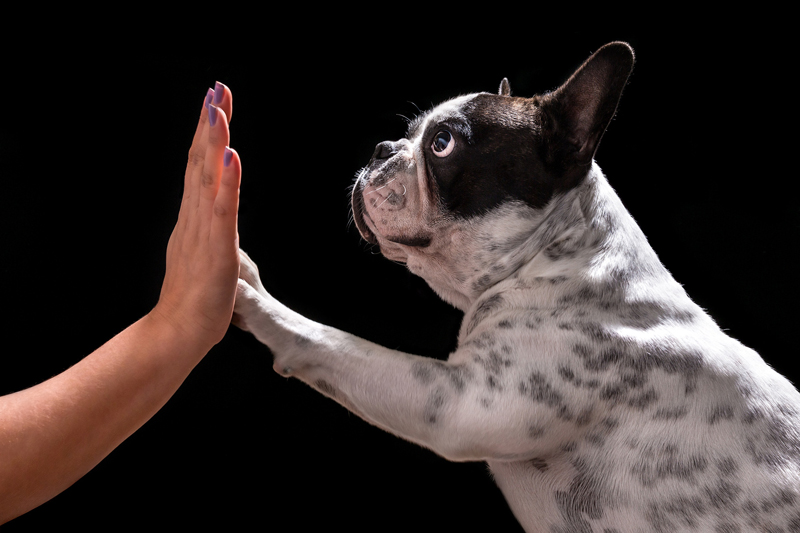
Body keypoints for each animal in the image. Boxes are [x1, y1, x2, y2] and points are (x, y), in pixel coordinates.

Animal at [233, 42, 800, 532]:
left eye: (442, 144)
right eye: (410, 133)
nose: (382, 148)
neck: (552, 260)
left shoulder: (452, 403)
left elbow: (328, 341)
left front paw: (251, 299)